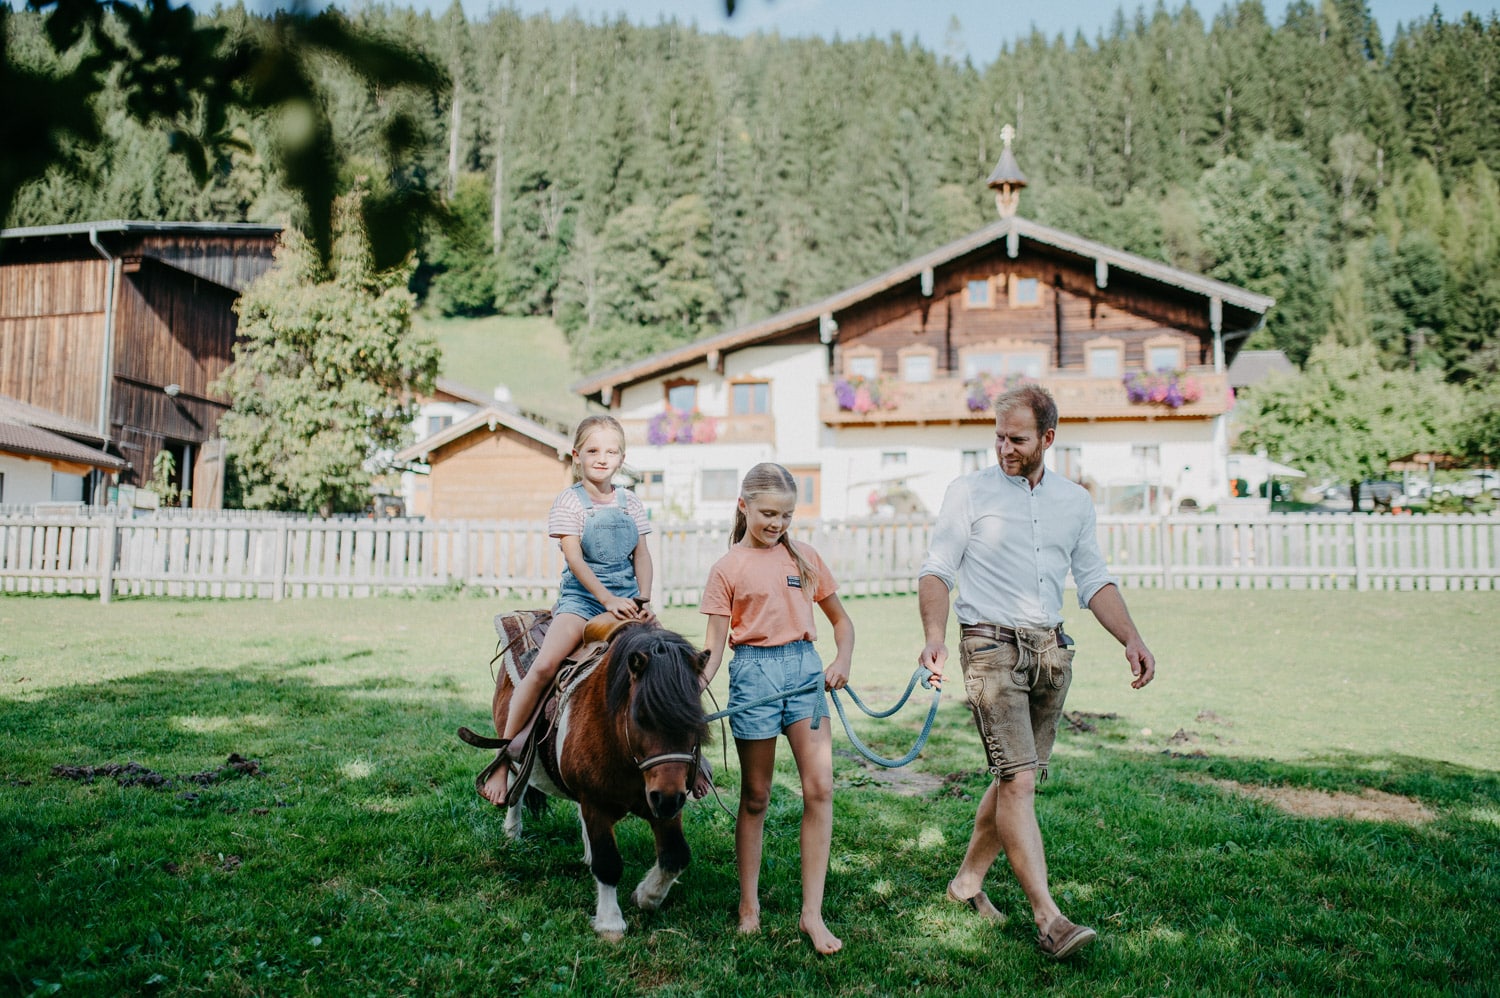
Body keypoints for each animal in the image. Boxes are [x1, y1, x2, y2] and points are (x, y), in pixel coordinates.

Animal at [459, 618, 711, 936]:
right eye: (641, 716)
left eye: (696, 719)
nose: (668, 800)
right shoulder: (597, 803)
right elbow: (608, 863)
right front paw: (610, 922)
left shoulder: (662, 803)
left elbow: (675, 855)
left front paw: (646, 896)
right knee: (517, 781)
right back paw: (511, 829)